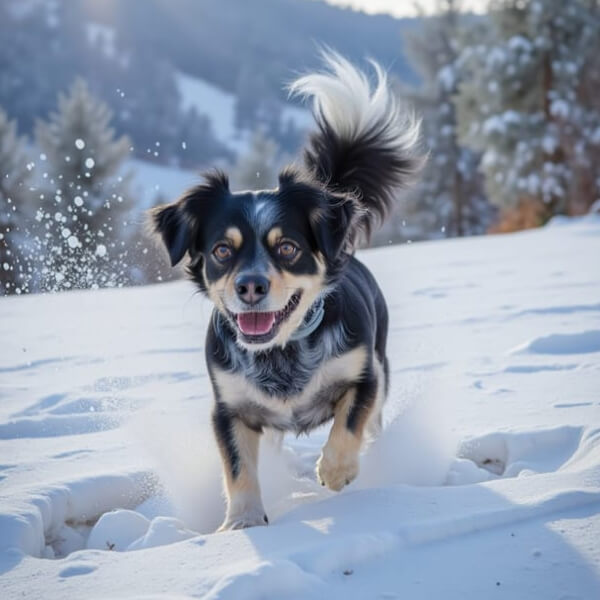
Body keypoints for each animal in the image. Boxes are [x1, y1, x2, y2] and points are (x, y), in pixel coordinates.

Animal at [151, 51, 422, 528]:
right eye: (222, 250)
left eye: (288, 247)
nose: (250, 285)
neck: (282, 353)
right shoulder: (229, 408)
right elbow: (237, 467)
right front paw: (241, 521)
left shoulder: (364, 376)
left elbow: (347, 424)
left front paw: (336, 470)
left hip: (383, 365)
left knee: (370, 425)